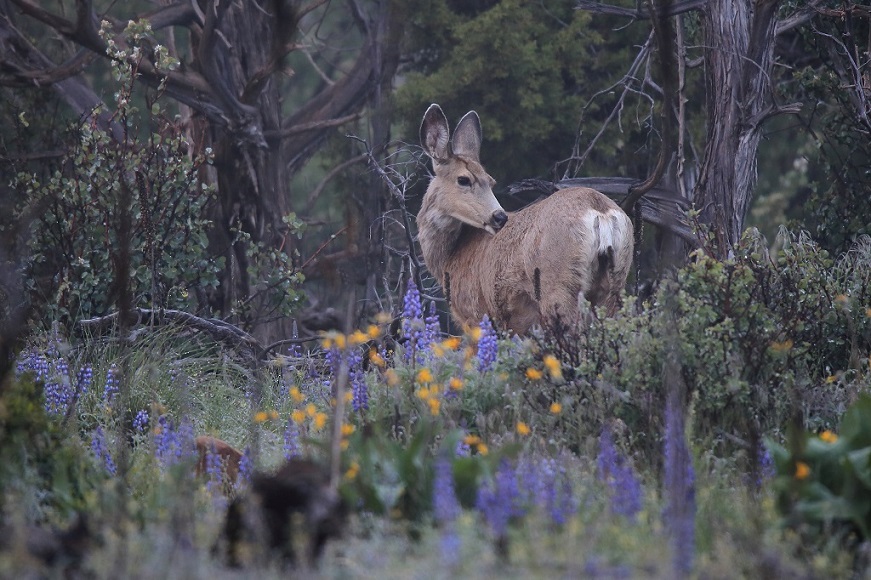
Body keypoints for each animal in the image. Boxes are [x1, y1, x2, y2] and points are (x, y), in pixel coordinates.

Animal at [416, 104, 634, 335]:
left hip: (559, 285)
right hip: (614, 282)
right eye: (464, 179)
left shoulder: (475, 313)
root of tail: (600, 211)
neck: (450, 256)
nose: (499, 216)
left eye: (490, 181)